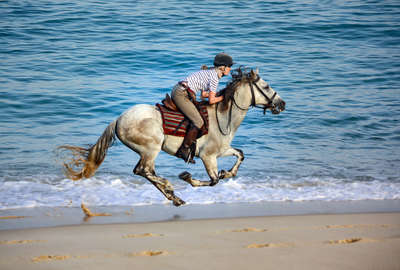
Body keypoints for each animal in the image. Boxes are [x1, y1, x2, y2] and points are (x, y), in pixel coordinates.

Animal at [58, 66, 284, 206]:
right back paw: (170, 188)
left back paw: (174, 197)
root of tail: (119, 119)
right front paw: (187, 177)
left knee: (145, 171)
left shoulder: (221, 151)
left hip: (148, 151)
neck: (222, 116)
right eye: (266, 87)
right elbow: (213, 181)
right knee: (143, 170)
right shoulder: (208, 156)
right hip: (152, 148)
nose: (282, 104)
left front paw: (227, 173)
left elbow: (240, 155)